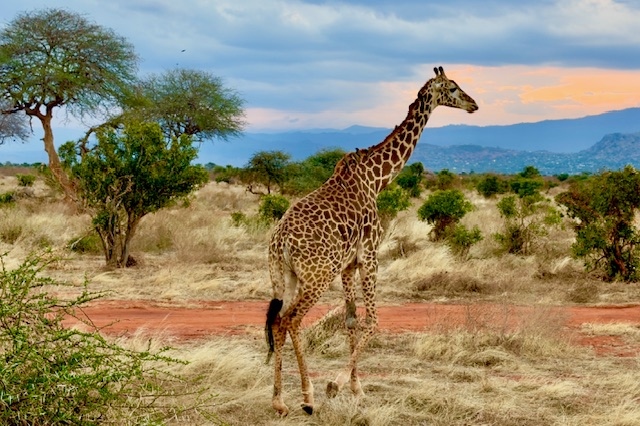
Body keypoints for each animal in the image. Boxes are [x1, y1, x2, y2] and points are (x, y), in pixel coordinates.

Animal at [265, 66, 478, 416]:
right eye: (452, 87)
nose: (474, 104)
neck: (377, 180)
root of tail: (279, 242)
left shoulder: (348, 265)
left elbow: (351, 321)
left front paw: (356, 388)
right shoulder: (370, 255)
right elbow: (374, 321)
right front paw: (336, 385)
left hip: (284, 276)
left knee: (279, 322)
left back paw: (279, 401)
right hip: (317, 276)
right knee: (293, 321)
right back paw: (307, 398)